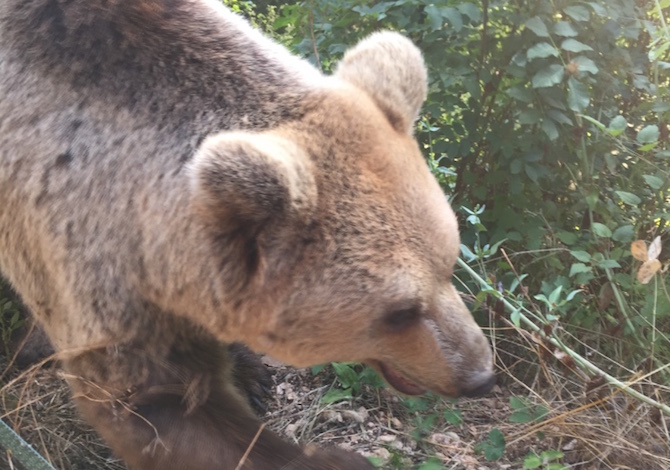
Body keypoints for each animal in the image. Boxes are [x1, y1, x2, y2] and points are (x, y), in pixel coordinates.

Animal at [0, 0, 494, 470]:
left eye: (450, 262)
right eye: (400, 312)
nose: (480, 375)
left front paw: (251, 373)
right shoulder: (83, 251)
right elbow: (155, 400)